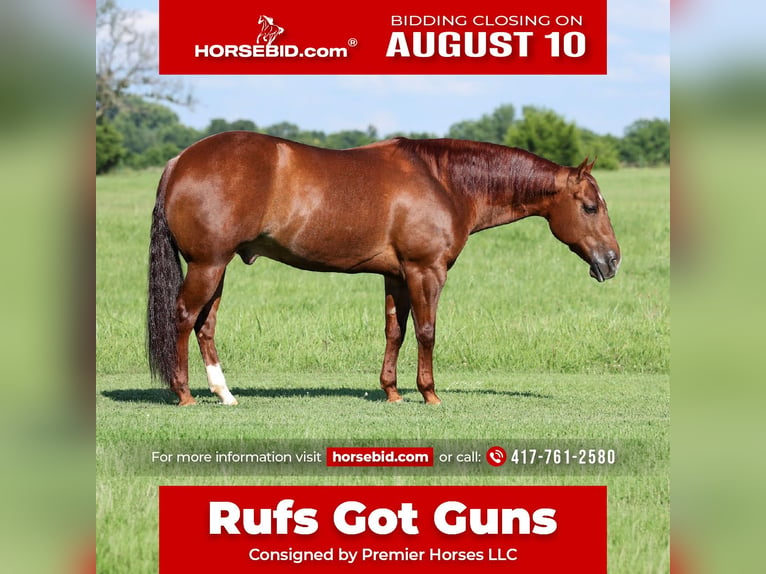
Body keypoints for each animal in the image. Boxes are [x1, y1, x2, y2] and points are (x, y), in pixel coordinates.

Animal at [147, 133, 621, 406]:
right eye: (590, 207)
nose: (613, 260)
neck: (444, 181)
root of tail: (179, 160)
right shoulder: (426, 271)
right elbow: (427, 332)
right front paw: (429, 394)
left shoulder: (396, 276)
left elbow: (395, 331)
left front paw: (391, 391)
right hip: (208, 265)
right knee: (184, 318)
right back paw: (184, 394)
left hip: (217, 267)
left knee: (206, 325)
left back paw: (224, 394)